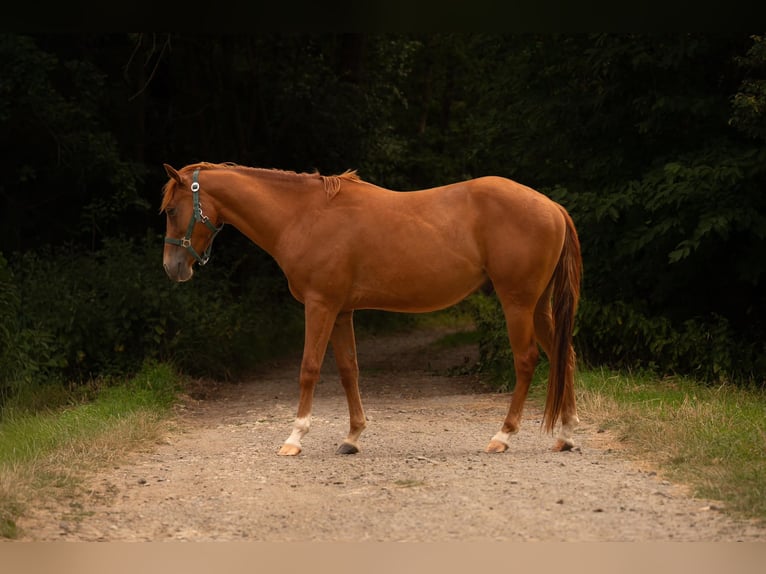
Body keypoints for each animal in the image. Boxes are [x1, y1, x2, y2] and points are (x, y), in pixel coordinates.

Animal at [161, 162, 582, 456]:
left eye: (170, 210)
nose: (173, 267)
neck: (304, 215)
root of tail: (552, 206)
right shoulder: (342, 311)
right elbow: (350, 371)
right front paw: (353, 436)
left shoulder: (320, 306)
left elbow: (309, 369)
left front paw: (295, 438)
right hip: (539, 307)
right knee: (564, 355)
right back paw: (565, 434)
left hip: (517, 303)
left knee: (527, 360)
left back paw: (503, 436)